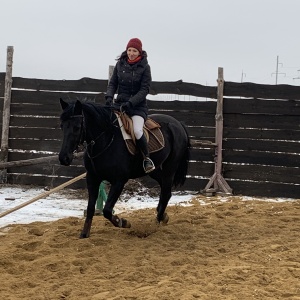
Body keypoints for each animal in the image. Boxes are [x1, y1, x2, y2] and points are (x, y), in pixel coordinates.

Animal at [58, 99, 190, 238]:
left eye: (77, 127)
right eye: (62, 126)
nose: (64, 158)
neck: (106, 140)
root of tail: (178, 124)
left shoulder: (119, 181)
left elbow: (107, 210)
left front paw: (123, 222)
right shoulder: (92, 178)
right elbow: (90, 208)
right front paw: (84, 234)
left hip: (169, 170)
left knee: (165, 193)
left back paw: (156, 224)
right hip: (156, 171)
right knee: (165, 191)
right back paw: (163, 216)